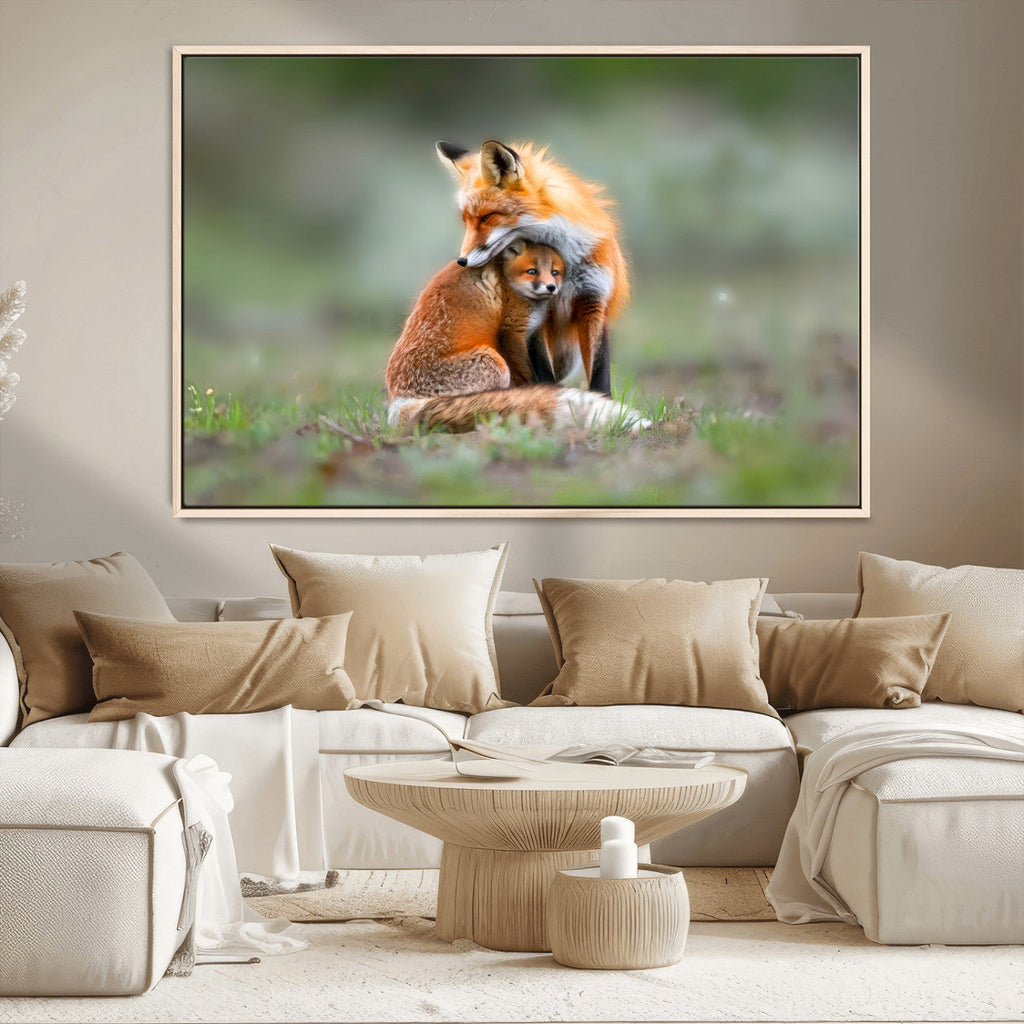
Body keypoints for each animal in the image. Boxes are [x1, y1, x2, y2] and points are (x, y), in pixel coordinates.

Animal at [385, 241, 647, 434]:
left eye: (555, 272)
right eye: (532, 272)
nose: (551, 287)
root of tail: (399, 401)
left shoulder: (535, 332)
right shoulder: (512, 329)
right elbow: (528, 374)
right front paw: (537, 393)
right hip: (494, 362)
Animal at [436, 139, 630, 397]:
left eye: (486, 217)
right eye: (466, 221)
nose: (462, 261)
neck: (565, 263)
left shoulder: (594, 301)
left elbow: (599, 371)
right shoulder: (538, 313)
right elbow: (543, 369)